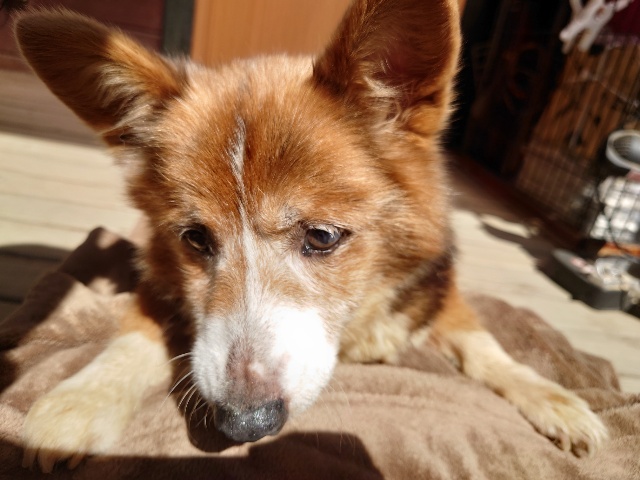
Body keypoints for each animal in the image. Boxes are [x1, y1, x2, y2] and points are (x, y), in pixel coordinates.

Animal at [15, 0, 607, 472]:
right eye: (195, 239)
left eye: (322, 237)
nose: (245, 423)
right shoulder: (158, 277)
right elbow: (132, 336)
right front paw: (76, 406)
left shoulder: (441, 296)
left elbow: (487, 347)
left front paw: (555, 401)